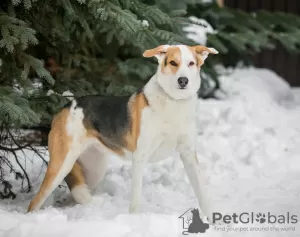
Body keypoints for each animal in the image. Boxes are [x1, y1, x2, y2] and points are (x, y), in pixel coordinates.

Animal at [27, 44, 218, 218]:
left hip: (93, 170)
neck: (174, 102)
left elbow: (203, 195)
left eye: (191, 63)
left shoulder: (188, 155)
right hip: (61, 164)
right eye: (173, 62)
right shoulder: (140, 157)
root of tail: (66, 106)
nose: (183, 81)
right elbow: (135, 199)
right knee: (34, 202)